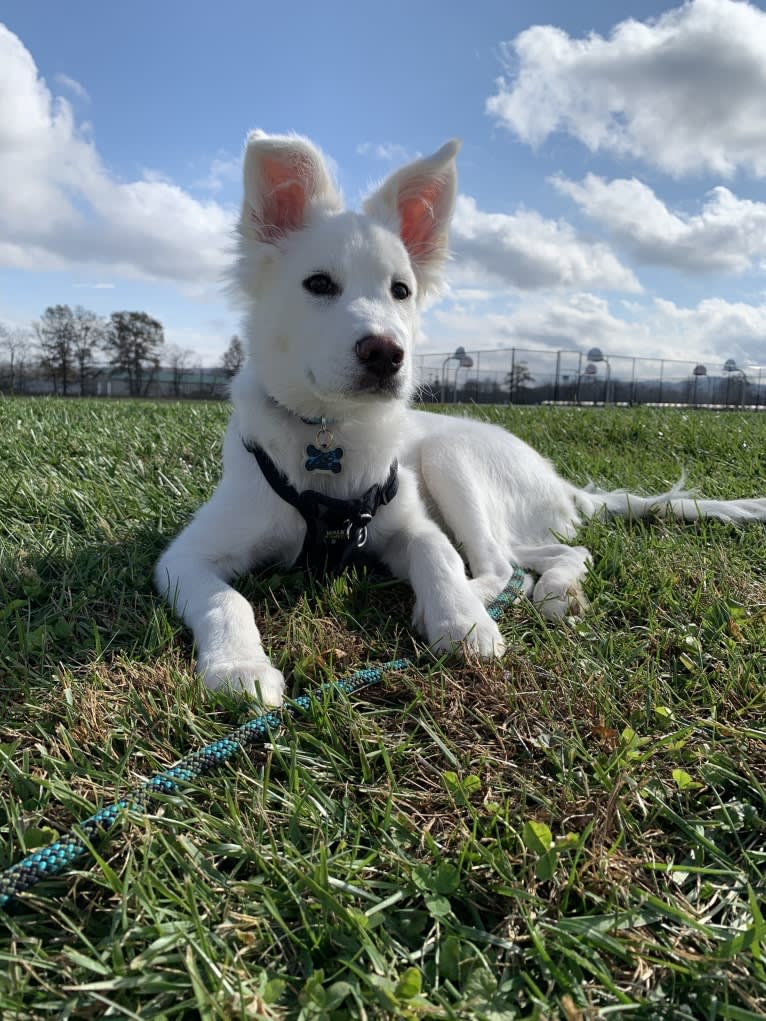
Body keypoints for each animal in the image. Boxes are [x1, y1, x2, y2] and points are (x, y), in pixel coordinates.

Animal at [156, 131, 766, 706]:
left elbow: (437, 553)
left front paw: (461, 620)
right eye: (319, 284)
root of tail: (561, 483)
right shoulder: (183, 558)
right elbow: (226, 598)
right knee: (547, 555)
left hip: (450, 457)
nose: (387, 353)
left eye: (401, 290)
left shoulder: (409, 521)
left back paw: (482, 602)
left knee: (499, 563)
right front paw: (239, 667)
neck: (331, 438)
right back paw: (554, 588)